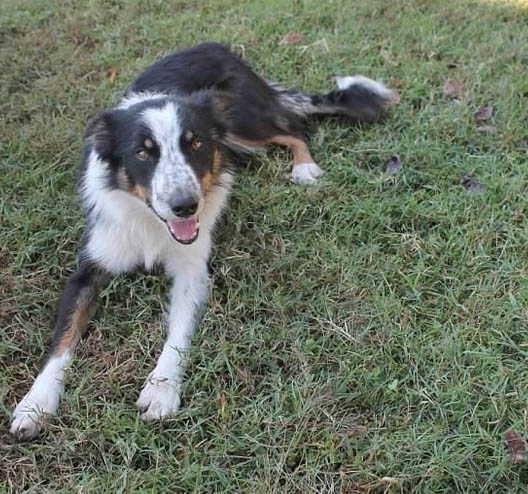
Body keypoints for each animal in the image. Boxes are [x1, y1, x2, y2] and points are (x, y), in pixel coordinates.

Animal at [10, 40, 398, 438]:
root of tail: (219, 48)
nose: (185, 206)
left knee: (293, 128)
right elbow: (61, 341)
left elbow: (178, 334)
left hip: (239, 121)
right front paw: (36, 403)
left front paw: (162, 389)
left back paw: (304, 166)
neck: (151, 222)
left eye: (195, 145)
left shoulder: (192, 269)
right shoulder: (89, 267)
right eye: (142, 152)